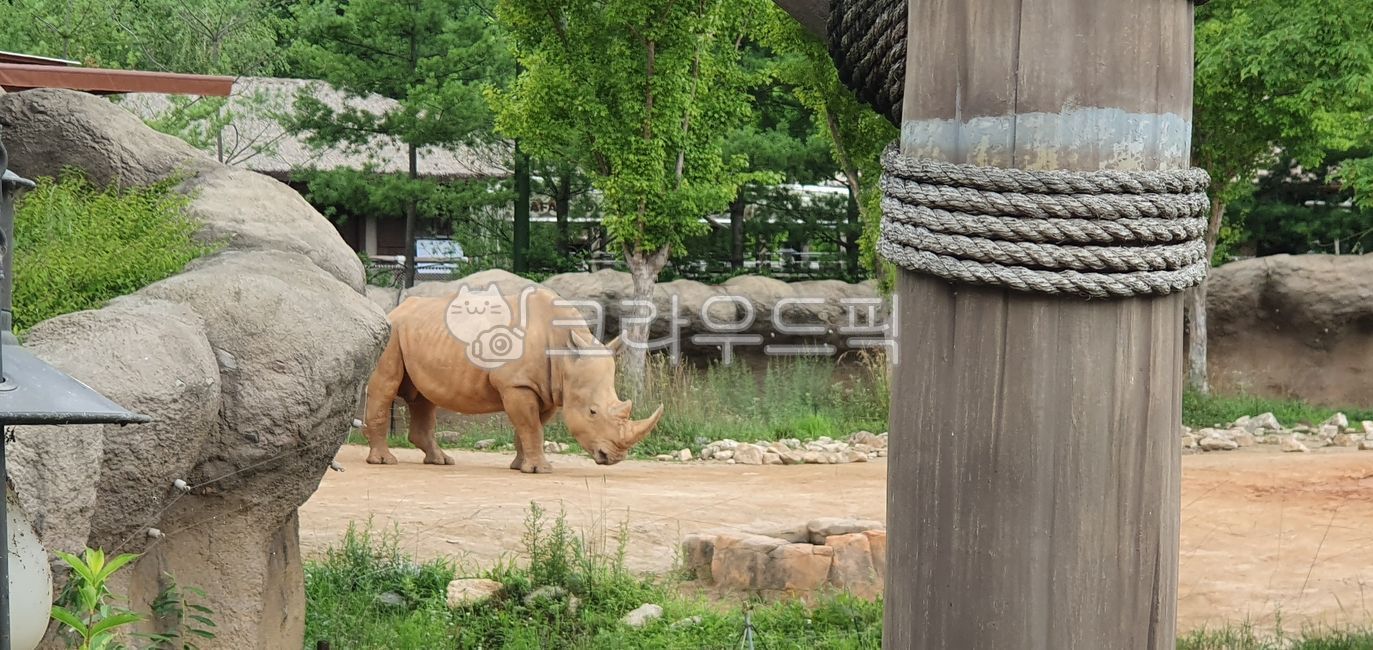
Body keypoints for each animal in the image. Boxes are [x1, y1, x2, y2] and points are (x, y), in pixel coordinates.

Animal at [361, 283, 663, 473]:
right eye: (592, 412)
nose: (614, 458)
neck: (566, 355)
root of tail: (396, 309)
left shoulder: (547, 389)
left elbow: (529, 428)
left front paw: (521, 466)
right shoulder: (517, 385)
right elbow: (531, 427)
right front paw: (540, 470)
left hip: (416, 333)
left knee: (423, 398)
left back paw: (441, 461)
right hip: (393, 334)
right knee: (386, 387)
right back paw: (385, 462)